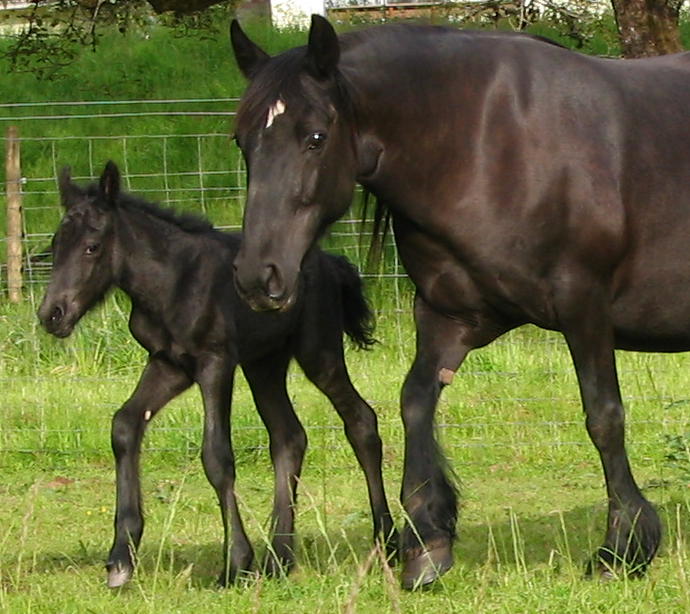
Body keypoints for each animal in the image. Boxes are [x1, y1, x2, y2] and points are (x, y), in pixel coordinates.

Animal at [230, 16, 688, 588]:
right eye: (242, 141)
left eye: (315, 137)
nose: (258, 276)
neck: (487, 145)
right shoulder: (450, 315)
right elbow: (415, 401)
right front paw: (429, 542)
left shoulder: (584, 305)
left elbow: (603, 417)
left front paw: (622, 547)